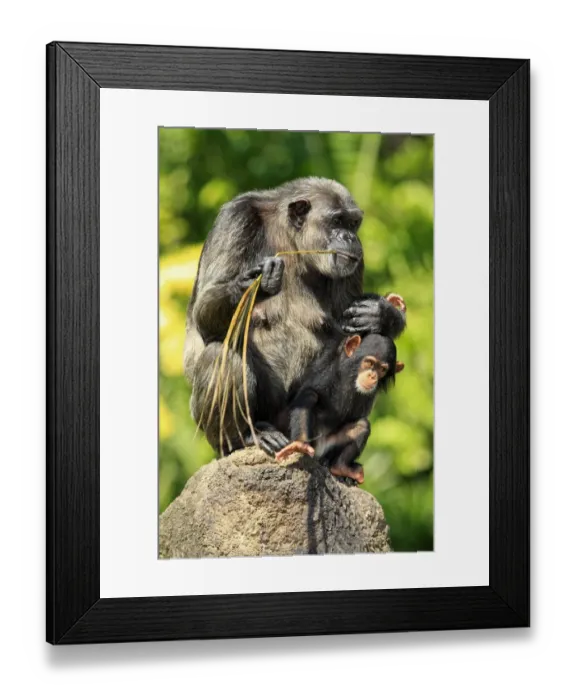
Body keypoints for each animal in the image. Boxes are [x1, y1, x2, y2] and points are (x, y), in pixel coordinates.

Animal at [184, 177, 407, 457]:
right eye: (337, 221)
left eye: (353, 223)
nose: (349, 236)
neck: (290, 240)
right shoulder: (234, 221)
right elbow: (204, 313)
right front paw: (255, 283)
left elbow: (351, 328)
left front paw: (382, 314)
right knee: (221, 356)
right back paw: (248, 436)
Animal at [275, 333, 404, 484]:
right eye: (369, 363)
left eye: (382, 369)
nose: (372, 375)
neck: (351, 376)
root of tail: (318, 452)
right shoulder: (328, 370)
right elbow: (310, 393)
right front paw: (299, 444)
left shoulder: (370, 397)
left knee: (362, 426)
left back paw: (340, 467)